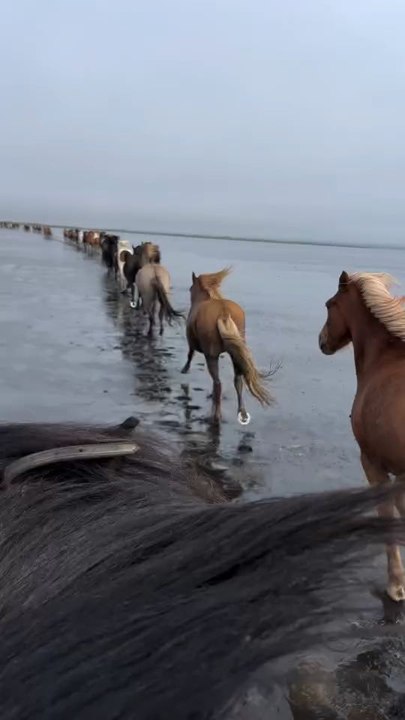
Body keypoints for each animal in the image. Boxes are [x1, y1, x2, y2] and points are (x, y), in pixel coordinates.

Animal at [181, 268, 273, 425]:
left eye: (190, 288)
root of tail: (223, 313)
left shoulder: (192, 343)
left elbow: (189, 354)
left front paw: (185, 369)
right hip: (236, 354)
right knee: (237, 381)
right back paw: (241, 412)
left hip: (211, 356)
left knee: (217, 383)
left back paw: (215, 416)